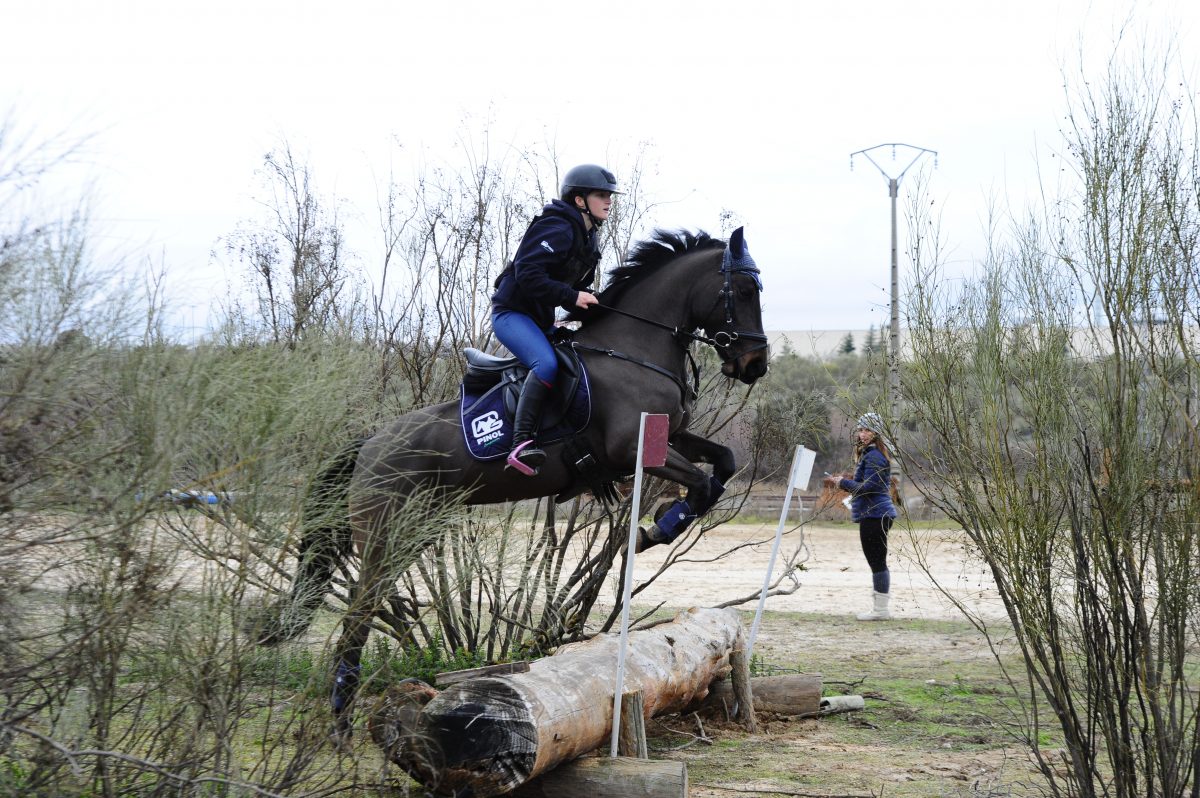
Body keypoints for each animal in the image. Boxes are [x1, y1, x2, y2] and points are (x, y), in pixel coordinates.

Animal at [266, 226, 770, 743]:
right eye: (743, 291)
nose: (755, 364)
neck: (634, 350)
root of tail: (369, 442)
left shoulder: (669, 438)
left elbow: (723, 465)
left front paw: (661, 523)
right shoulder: (633, 447)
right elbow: (703, 485)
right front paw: (657, 529)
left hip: (416, 529)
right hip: (386, 536)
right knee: (357, 616)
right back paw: (340, 724)